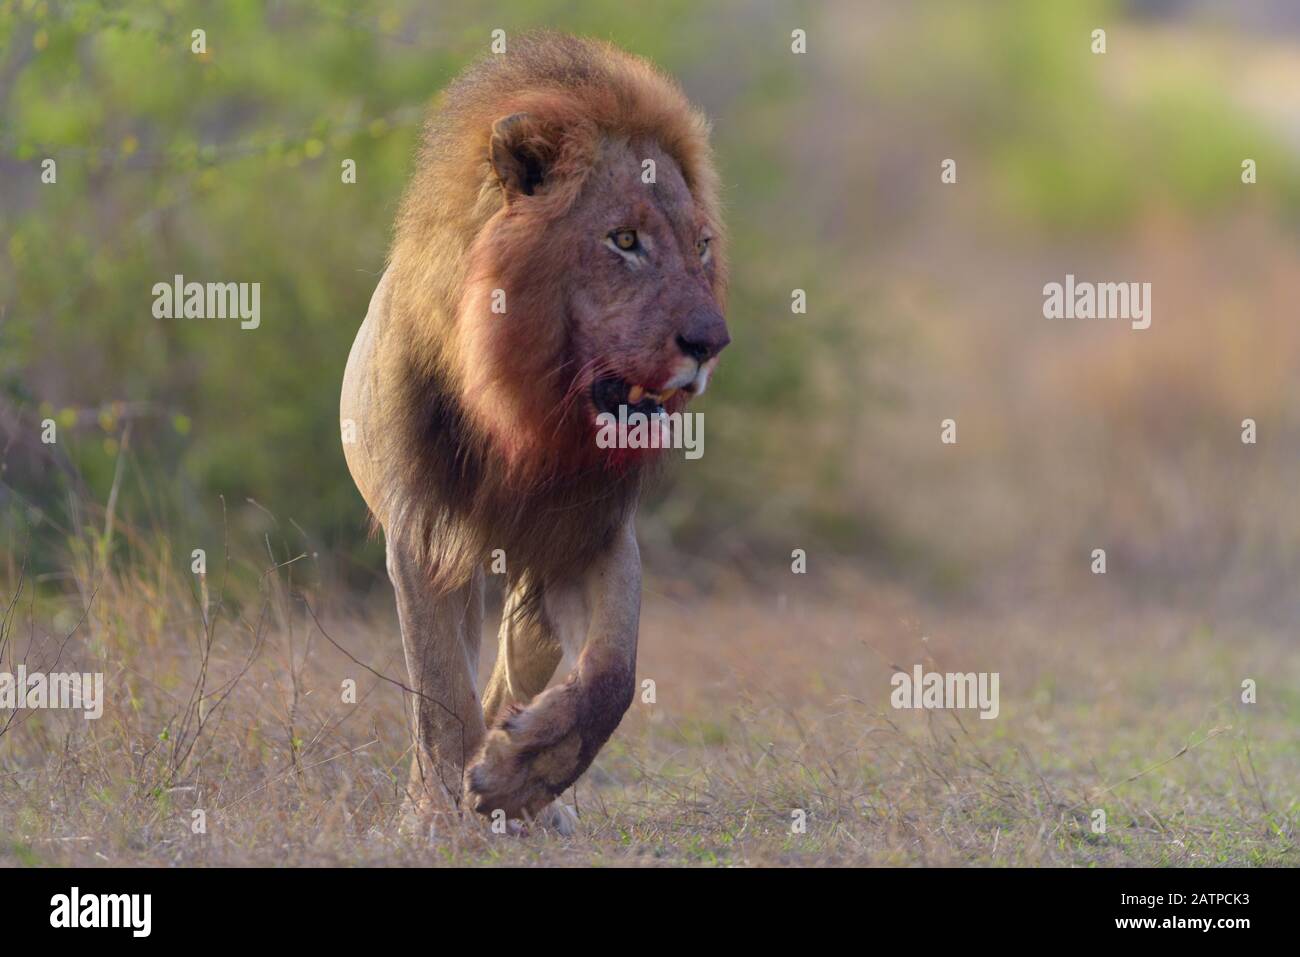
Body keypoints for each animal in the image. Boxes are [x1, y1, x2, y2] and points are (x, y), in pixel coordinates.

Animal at [340, 32, 729, 833]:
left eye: (702, 246)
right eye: (624, 239)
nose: (711, 343)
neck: (527, 410)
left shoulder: (591, 534)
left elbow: (612, 674)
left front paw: (518, 778)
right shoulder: (421, 535)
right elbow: (438, 693)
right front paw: (436, 813)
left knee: (518, 673)